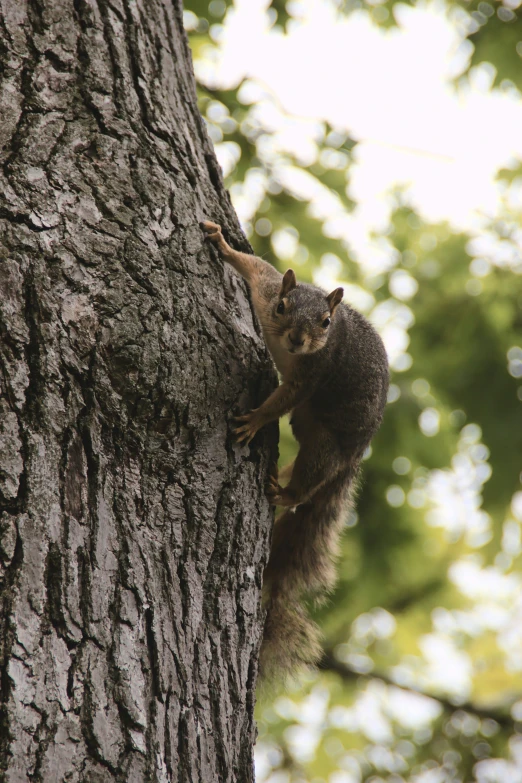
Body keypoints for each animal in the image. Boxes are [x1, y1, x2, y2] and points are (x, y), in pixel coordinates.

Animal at [201, 219, 388, 680]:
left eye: (326, 322)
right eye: (284, 307)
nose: (299, 340)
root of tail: (357, 453)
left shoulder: (313, 374)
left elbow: (280, 400)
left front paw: (254, 421)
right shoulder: (266, 292)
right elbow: (256, 267)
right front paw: (222, 242)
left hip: (325, 444)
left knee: (310, 480)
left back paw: (286, 491)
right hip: (307, 422)